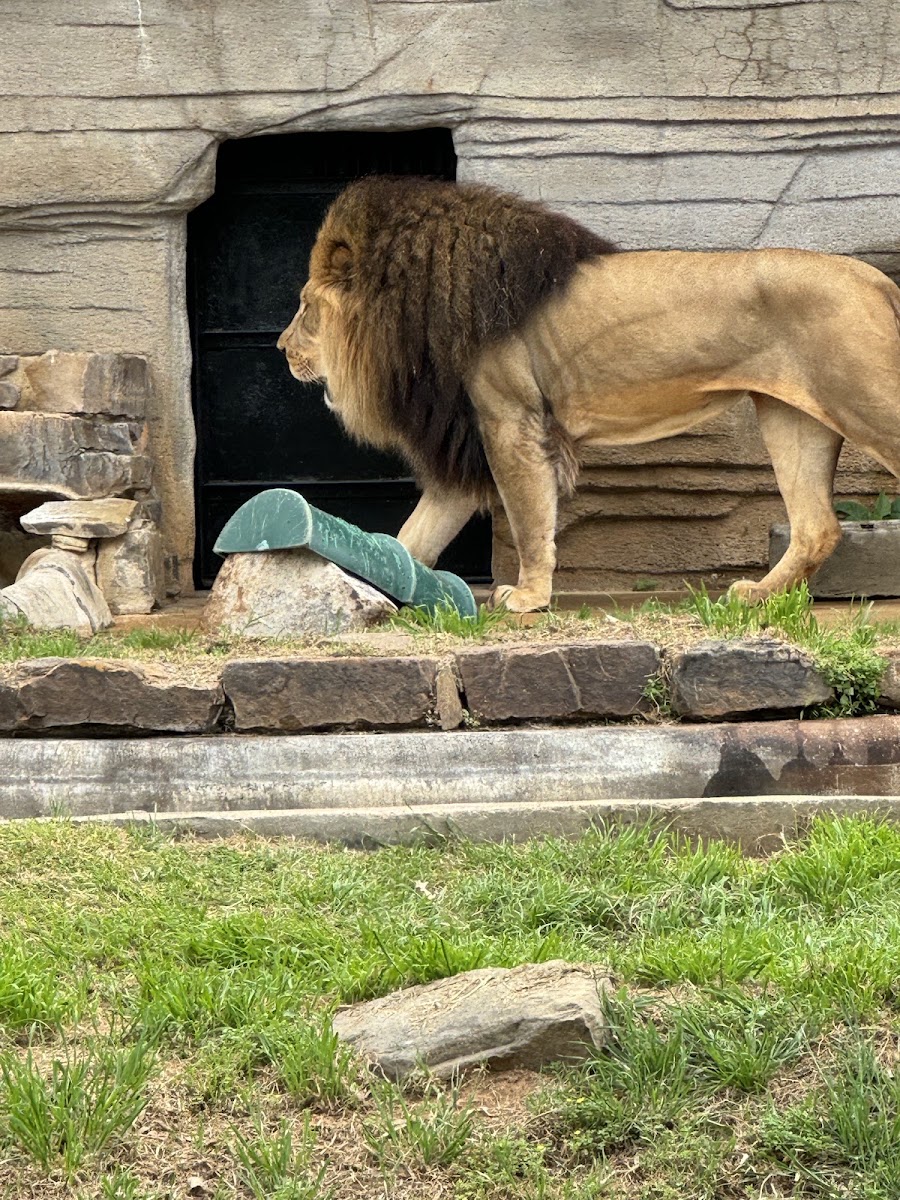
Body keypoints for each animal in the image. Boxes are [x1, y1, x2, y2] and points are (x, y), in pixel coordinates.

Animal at [277, 175, 900, 612]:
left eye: (305, 308)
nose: (281, 348)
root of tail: (874, 278)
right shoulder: (474, 432)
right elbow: (415, 534)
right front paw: (377, 583)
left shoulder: (510, 421)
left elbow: (529, 519)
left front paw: (528, 599)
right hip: (793, 417)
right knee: (817, 528)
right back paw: (755, 597)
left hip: (867, 403)